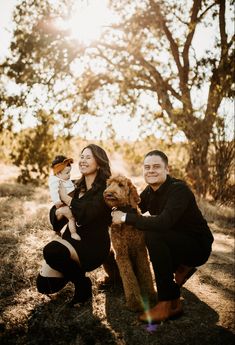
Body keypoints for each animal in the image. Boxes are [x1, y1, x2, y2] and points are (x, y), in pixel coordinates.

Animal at [103, 173, 156, 310]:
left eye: (121, 185)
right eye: (109, 184)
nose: (107, 193)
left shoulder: (140, 250)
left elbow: (145, 272)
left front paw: (150, 295)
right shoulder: (121, 253)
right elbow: (128, 277)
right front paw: (134, 302)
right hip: (108, 256)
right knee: (115, 277)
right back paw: (106, 282)